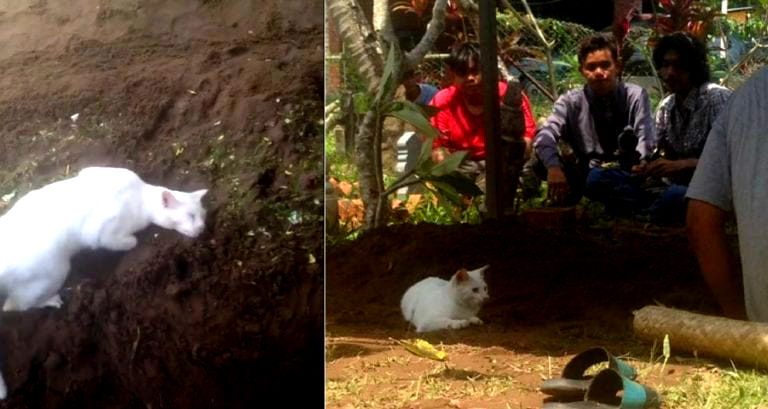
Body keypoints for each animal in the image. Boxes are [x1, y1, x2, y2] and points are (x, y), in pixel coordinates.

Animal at [0, 165, 207, 398]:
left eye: (202, 215)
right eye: (190, 216)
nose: (202, 228)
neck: (141, 194)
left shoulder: (92, 170)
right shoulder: (103, 232)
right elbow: (128, 241)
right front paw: (132, 242)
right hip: (53, 273)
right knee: (14, 305)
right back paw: (51, 300)